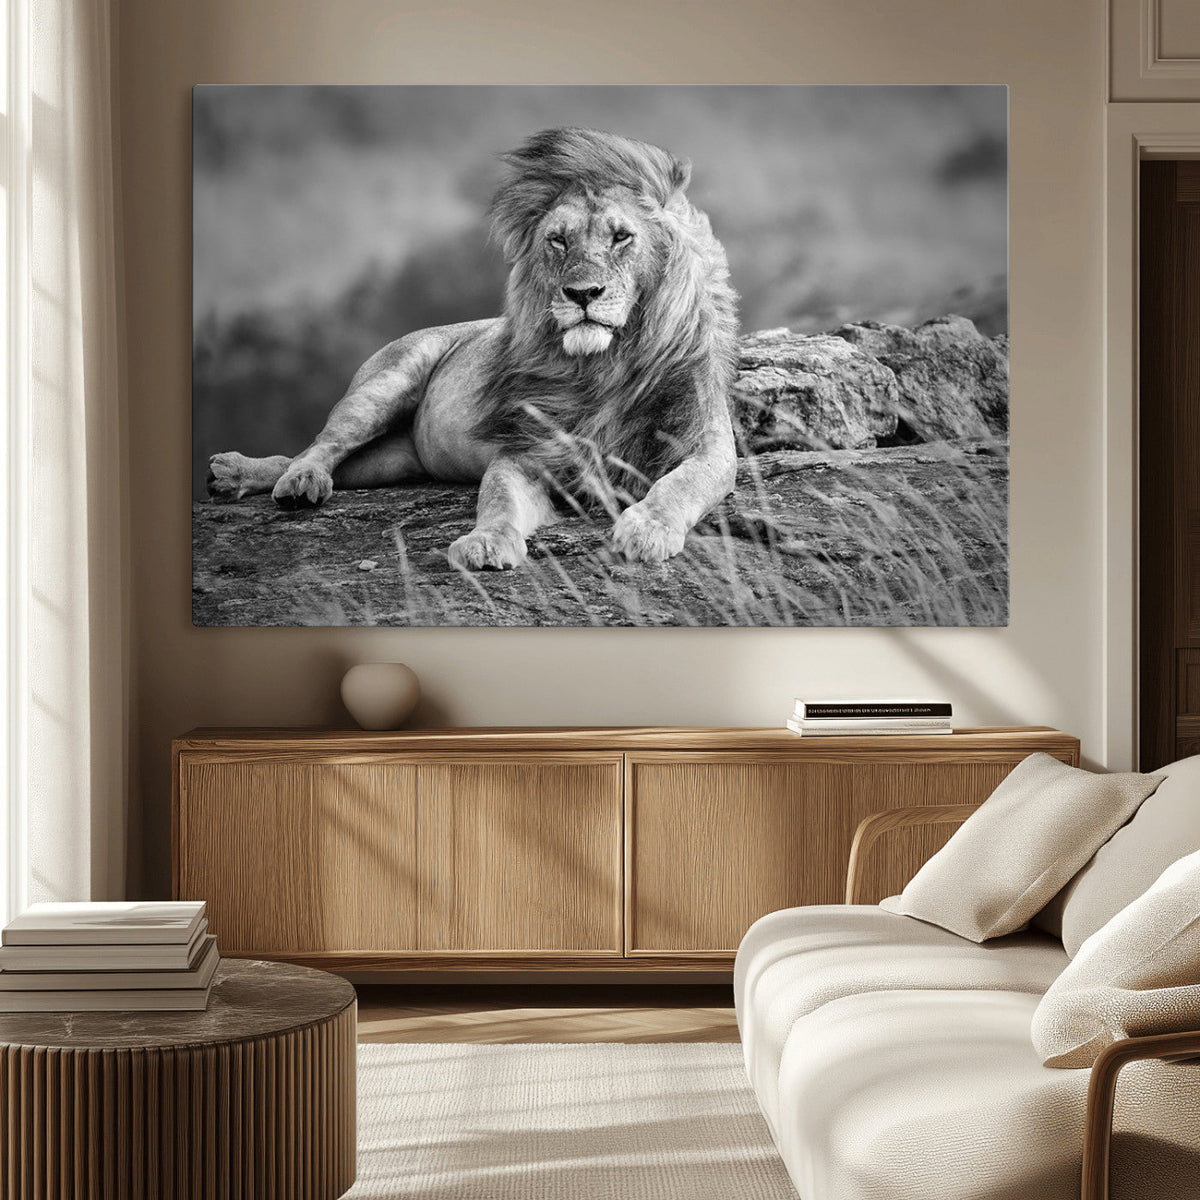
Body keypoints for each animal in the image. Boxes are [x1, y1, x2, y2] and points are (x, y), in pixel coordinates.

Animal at [207, 126, 739, 569]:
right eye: (558, 241)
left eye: (622, 236)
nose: (582, 293)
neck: (604, 366)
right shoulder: (526, 451)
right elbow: (497, 499)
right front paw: (485, 543)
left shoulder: (707, 445)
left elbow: (680, 484)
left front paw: (648, 528)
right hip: (385, 383)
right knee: (321, 445)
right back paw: (288, 480)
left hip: (392, 461)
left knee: (324, 461)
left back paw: (236, 476)